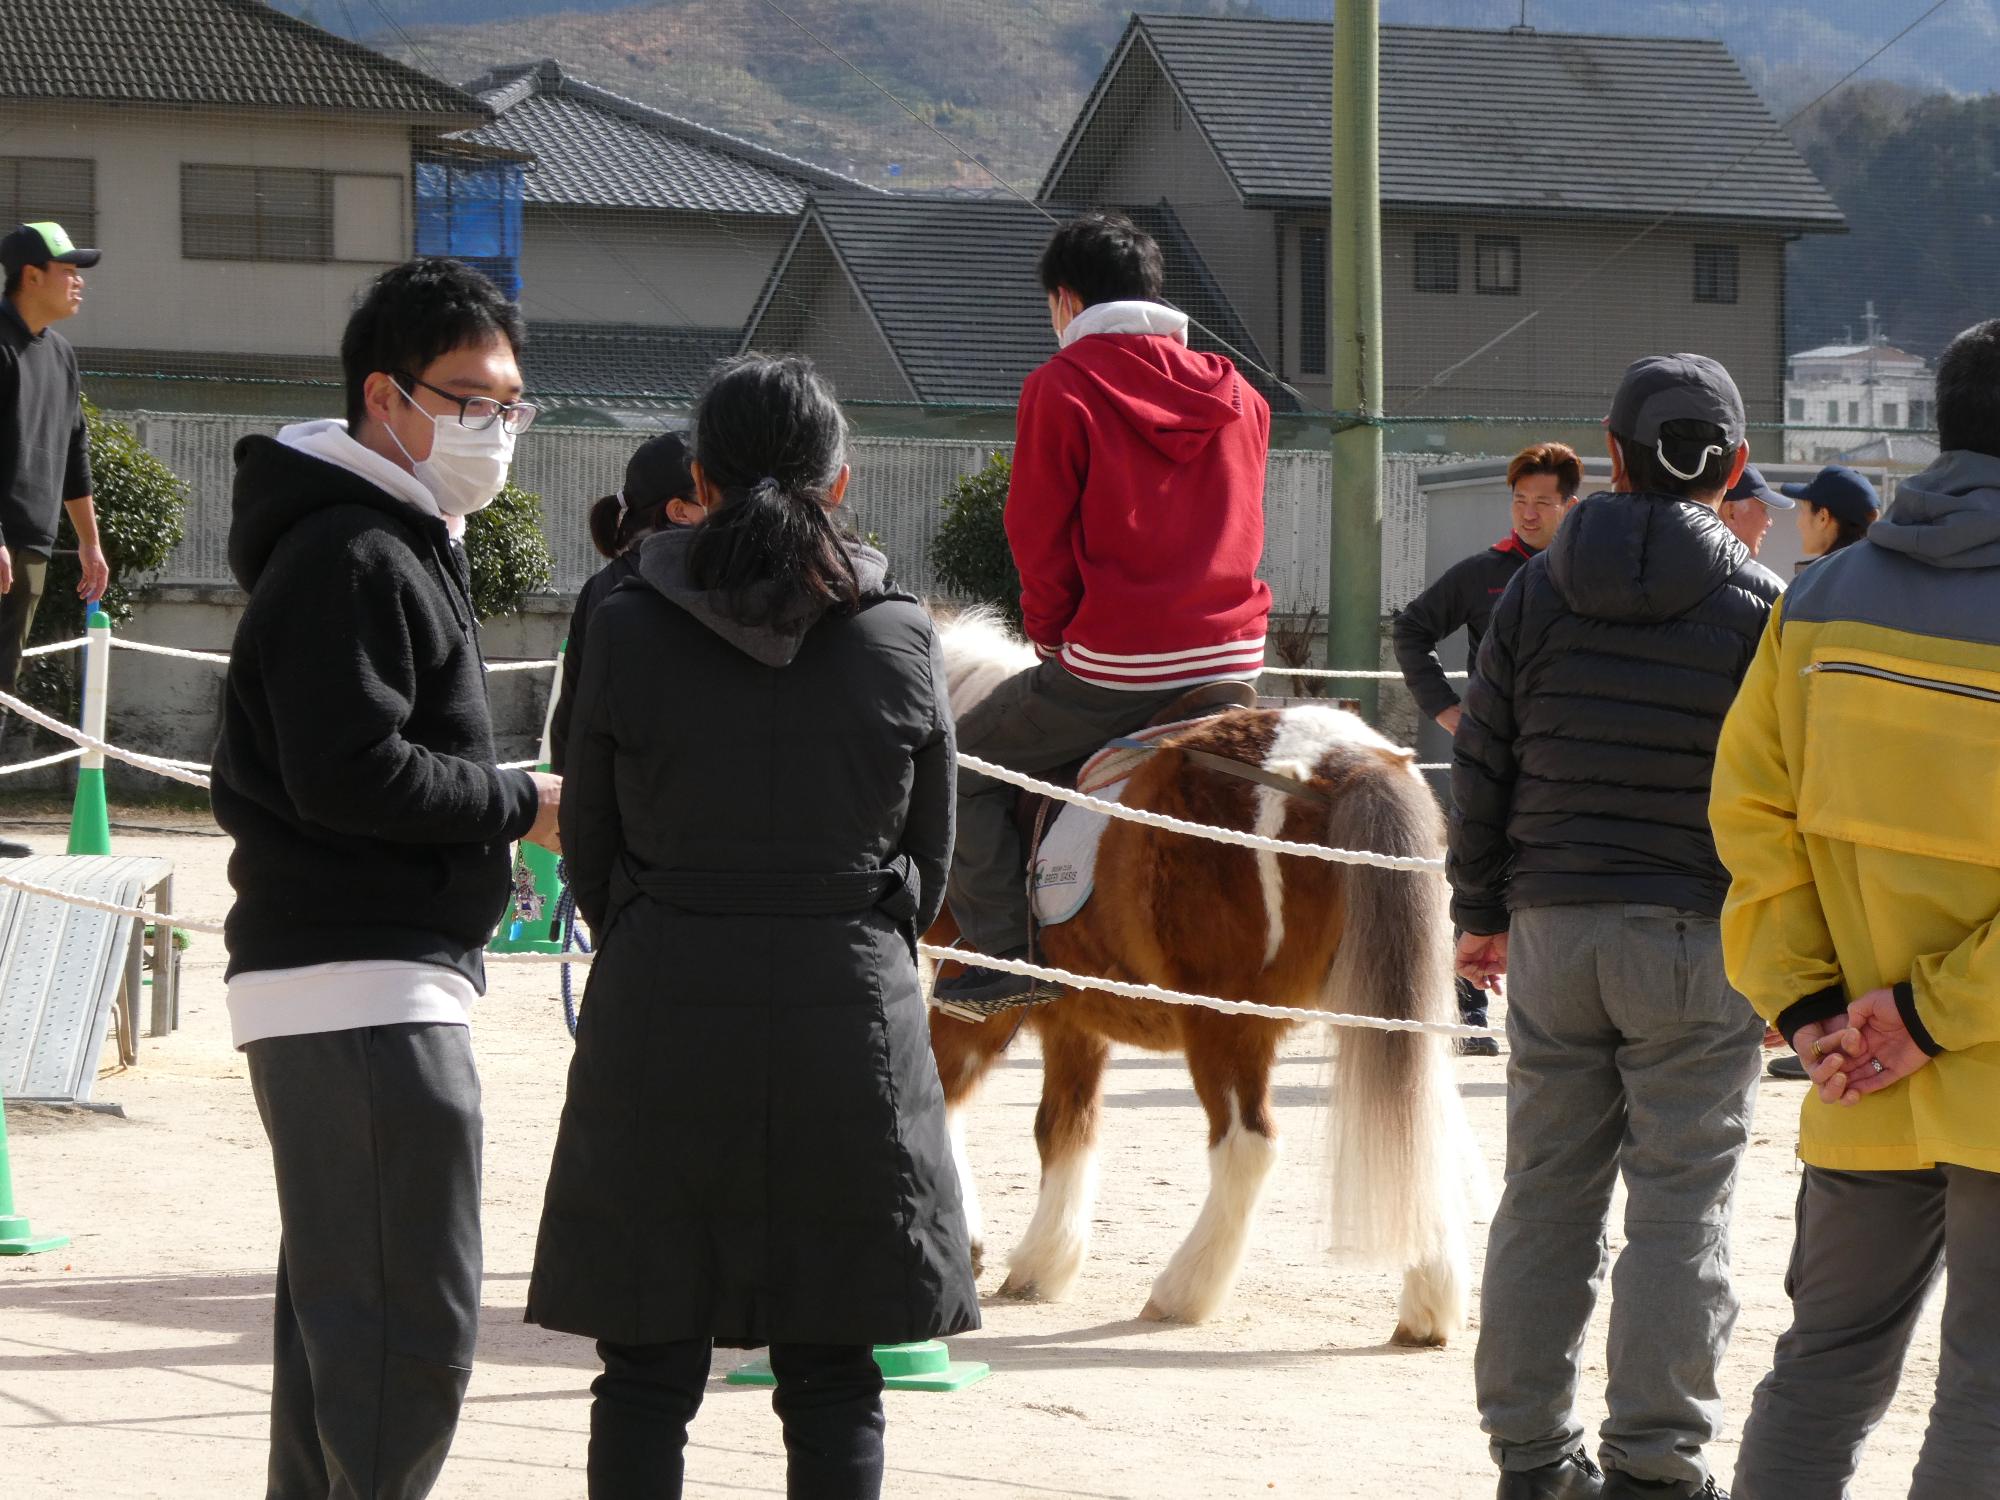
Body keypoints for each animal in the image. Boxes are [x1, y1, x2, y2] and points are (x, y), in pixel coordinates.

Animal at [928, 612, 1480, 1352]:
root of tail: (1344, 760)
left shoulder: (968, 994)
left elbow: (941, 1094)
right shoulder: (1076, 1018)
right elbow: (1064, 1126)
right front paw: (1043, 1262)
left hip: (1226, 1019)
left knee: (1247, 1146)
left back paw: (1182, 1290)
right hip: (1384, 1008)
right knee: (1418, 1124)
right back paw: (1428, 1306)